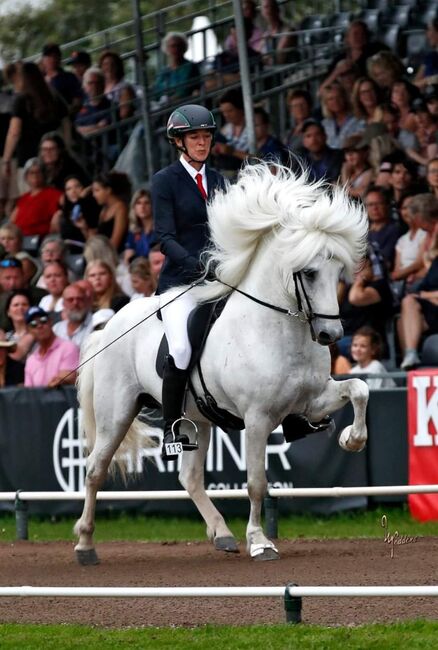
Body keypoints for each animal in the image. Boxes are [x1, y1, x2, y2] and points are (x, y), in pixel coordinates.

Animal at [74, 163, 370, 560]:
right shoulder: (258, 418)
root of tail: (108, 328)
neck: (277, 329)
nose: (330, 334)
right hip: (116, 413)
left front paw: (352, 439)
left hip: (197, 420)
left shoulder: (311, 401)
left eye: (338, 271)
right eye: (308, 272)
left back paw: (222, 534)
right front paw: (260, 542)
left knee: (189, 478)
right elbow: (257, 482)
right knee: (95, 469)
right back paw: (85, 544)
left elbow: (359, 388)